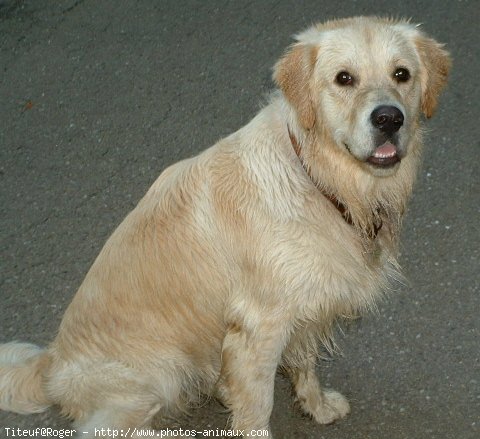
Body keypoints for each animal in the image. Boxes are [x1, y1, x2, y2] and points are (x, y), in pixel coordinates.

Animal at [0, 16, 450, 436]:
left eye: (401, 74)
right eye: (344, 78)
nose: (389, 119)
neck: (317, 177)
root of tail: (50, 363)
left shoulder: (301, 309)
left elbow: (305, 366)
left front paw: (318, 407)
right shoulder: (259, 329)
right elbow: (257, 410)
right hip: (159, 373)